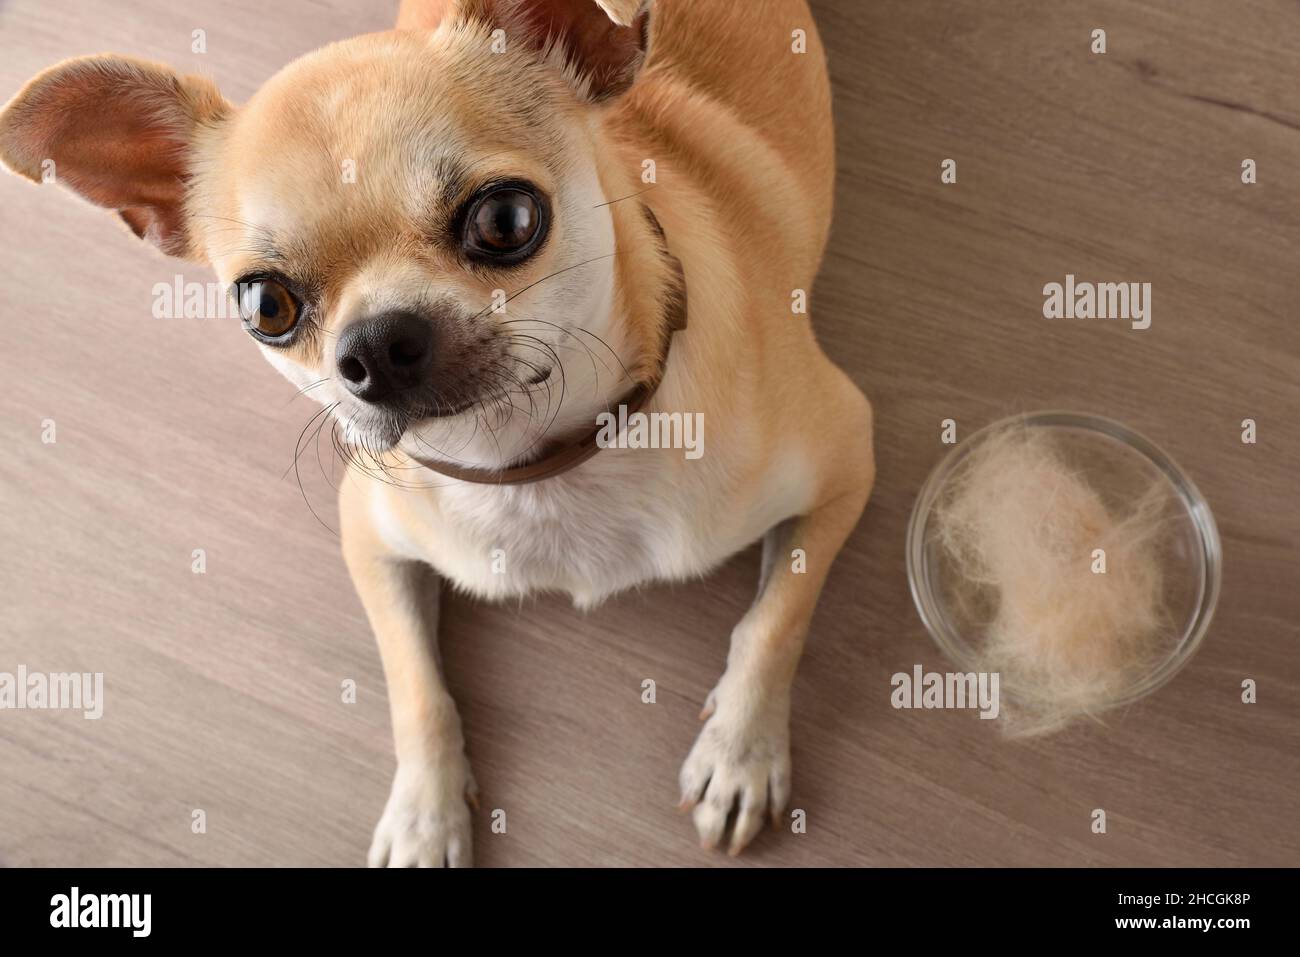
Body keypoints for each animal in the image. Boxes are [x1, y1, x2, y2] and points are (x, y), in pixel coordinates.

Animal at [2, 0, 873, 868]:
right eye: (265, 306)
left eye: (506, 219)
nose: (378, 342)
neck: (535, 469)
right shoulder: (370, 541)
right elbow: (415, 686)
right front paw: (425, 815)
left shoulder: (848, 459)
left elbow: (774, 619)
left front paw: (740, 752)